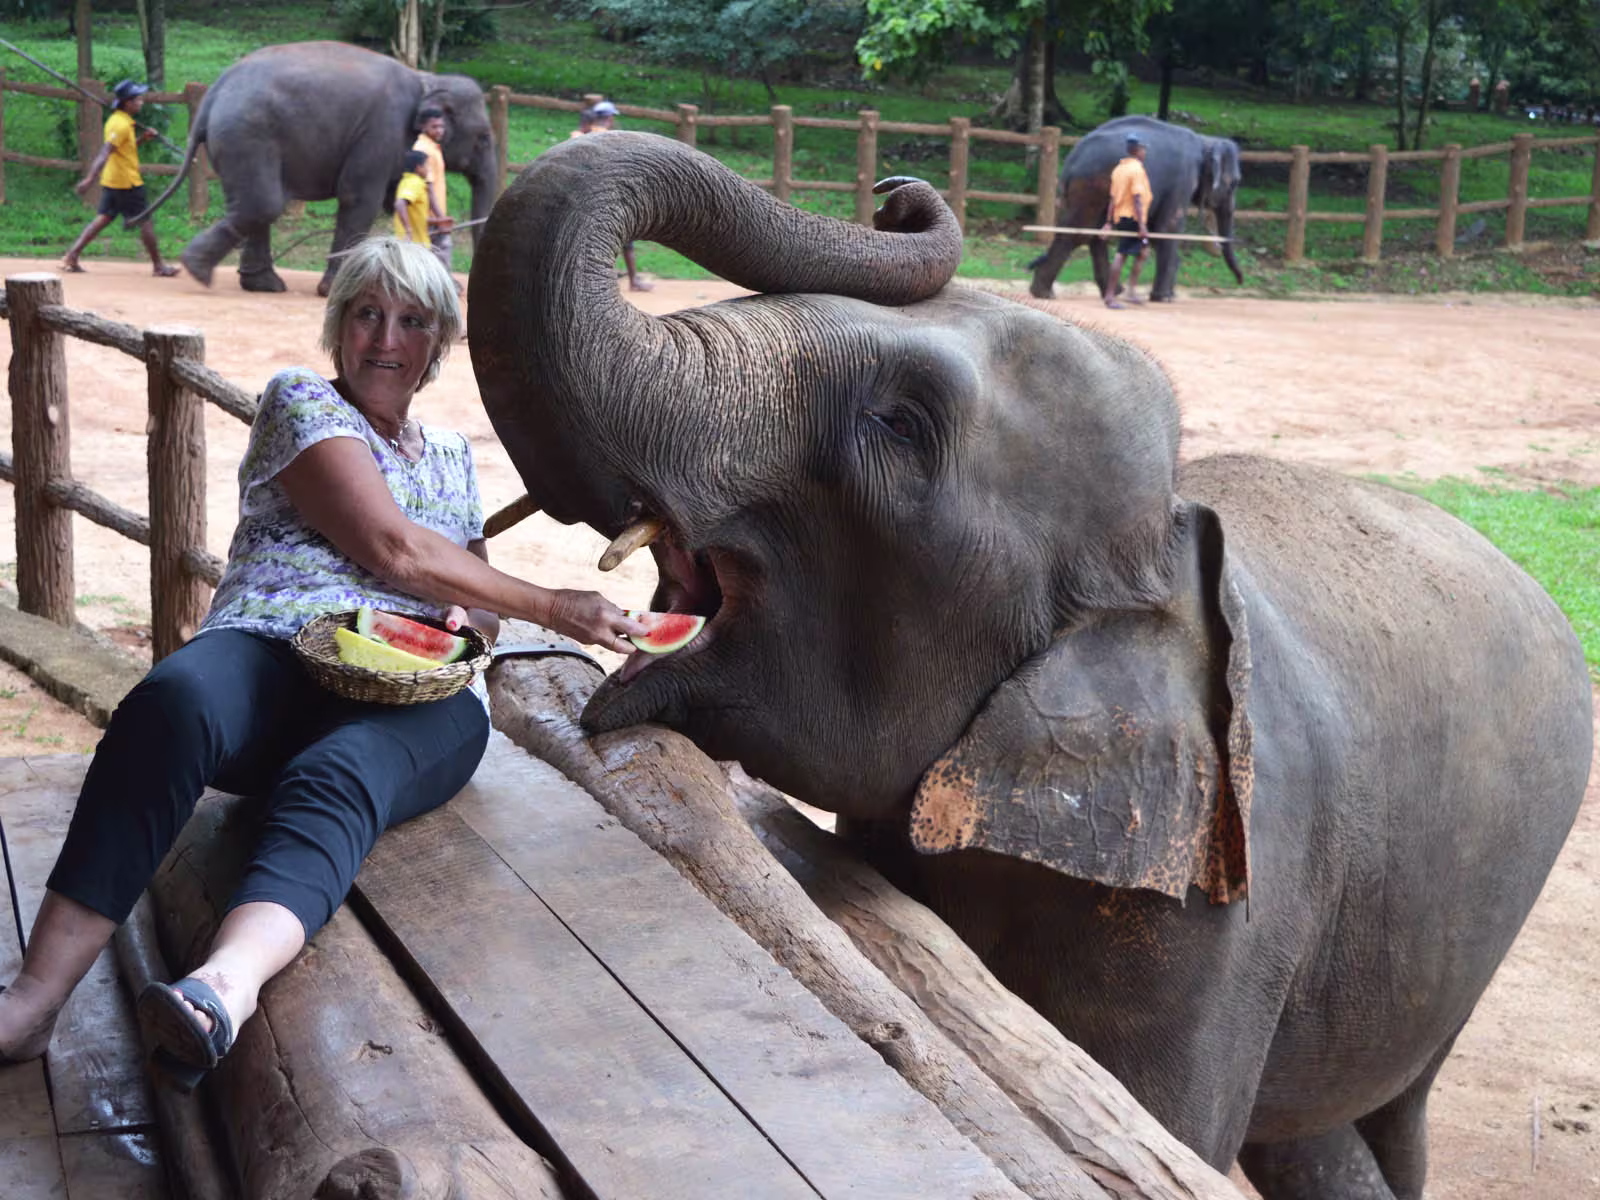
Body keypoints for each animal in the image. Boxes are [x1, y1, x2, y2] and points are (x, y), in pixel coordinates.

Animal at [139, 42, 496, 295]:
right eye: (483, 138)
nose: (465, 288)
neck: (427, 78)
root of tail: (211, 95)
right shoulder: (381, 132)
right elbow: (360, 199)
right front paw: (333, 290)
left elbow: (396, 200)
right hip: (247, 135)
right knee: (263, 204)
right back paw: (197, 268)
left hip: (236, 141)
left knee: (255, 206)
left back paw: (261, 284)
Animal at [1027, 115, 1245, 301]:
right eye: (1234, 183)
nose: (1240, 281)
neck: (1205, 141)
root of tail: (1071, 160)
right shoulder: (1182, 180)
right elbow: (1168, 227)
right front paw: (1164, 298)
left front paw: (1168, 295)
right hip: (1091, 185)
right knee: (1078, 233)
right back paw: (1045, 294)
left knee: (1095, 233)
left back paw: (1112, 291)